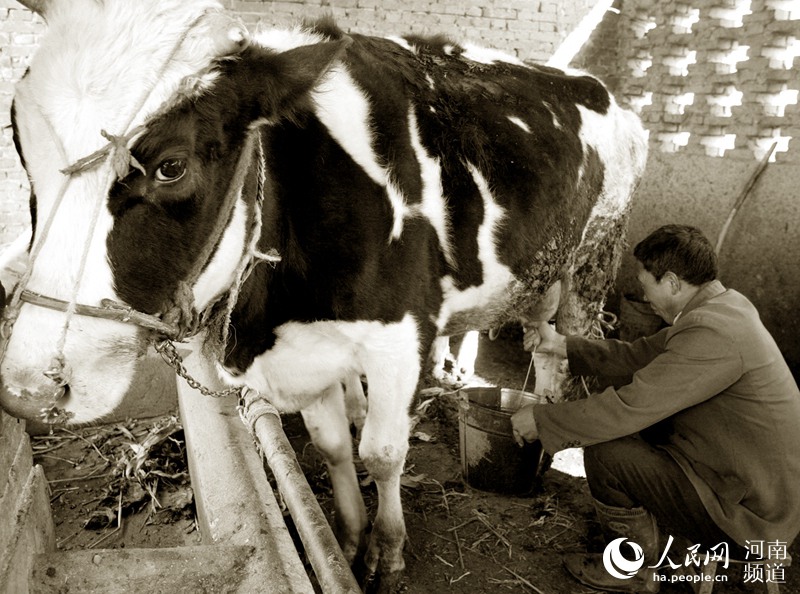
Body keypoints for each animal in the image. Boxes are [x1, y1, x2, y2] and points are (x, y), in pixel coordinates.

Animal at [1, 0, 648, 584]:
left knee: (574, 344)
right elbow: (335, 446)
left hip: (594, 258)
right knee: (545, 347)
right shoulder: (308, 351)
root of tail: (604, 92)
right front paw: (349, 537)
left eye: (170, 166)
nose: (30, 391)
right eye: (20, 145)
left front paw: (388, 553)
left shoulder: (400, 338)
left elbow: (382, 453)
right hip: (543, 273)